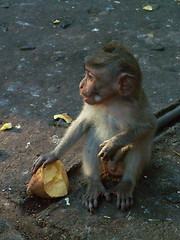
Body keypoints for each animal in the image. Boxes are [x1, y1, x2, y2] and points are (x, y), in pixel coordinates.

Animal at [32, 41, 158, 212]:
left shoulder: (136, 105)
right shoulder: (89, 103)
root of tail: (112, 169)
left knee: (140, 141)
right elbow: (82, 123)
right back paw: (94, 183)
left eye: (90, 76)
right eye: (86, 74)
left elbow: (149, 125)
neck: (111, 101)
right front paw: (53, 154)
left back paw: (126, 183)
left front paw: (114, 143)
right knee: (93, 133)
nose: (80, 85)